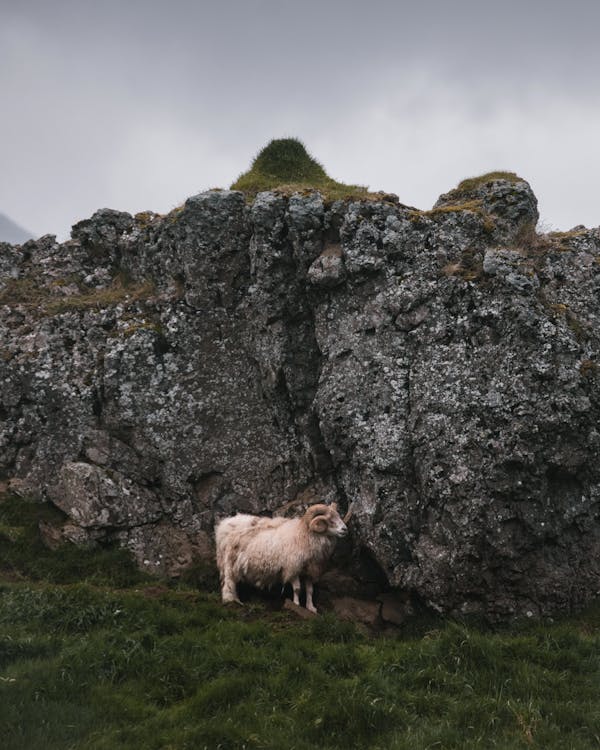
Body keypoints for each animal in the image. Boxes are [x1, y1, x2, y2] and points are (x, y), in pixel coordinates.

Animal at [216, 502, 350, 612]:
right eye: (330, 520)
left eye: (338, 516)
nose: (345, 529)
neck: (304, 534)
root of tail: (223, 526)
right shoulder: (292, 567)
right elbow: (297, 588)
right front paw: (296, 605)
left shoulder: (310, 569)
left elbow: (310, 590)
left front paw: (311, 608)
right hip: (229, 561)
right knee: (229, 581)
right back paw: (231, 600)